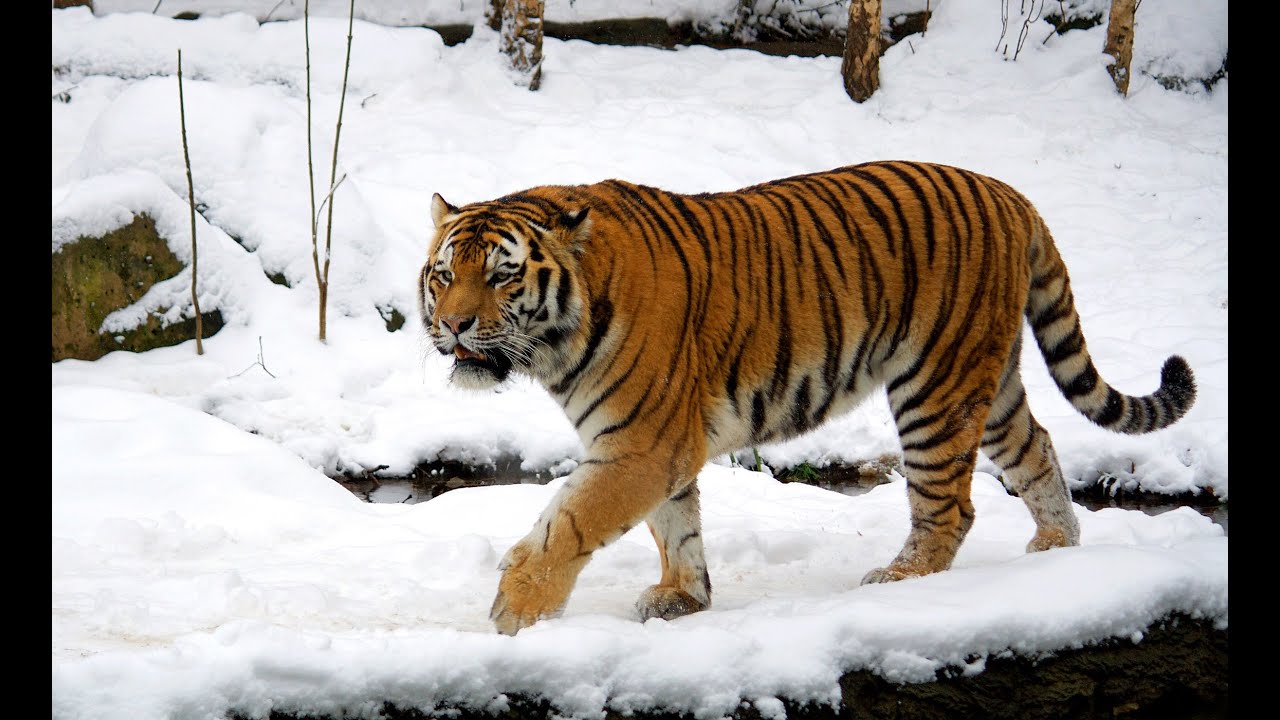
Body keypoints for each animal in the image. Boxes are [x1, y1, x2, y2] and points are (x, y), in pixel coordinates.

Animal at [416, 160, 1197, 636]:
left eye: (502, 276)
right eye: (445, 274)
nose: (452, 324)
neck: (558, 340)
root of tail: (1011, 194)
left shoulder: (641, 444)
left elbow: (569, 523)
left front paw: (515, 613)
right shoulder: (656, 445)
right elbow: (676, 525)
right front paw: (683, 597)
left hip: (935, 386)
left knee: (951, 505)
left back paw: (900, 580)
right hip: (989, 378)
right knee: (1036, 448)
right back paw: (1054, 551)